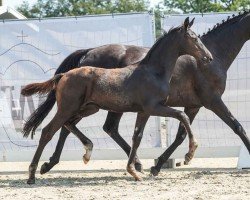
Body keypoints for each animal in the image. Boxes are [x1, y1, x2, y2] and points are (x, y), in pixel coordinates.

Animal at [22, 18, 212, 184]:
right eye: (194, 38)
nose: (208, 58)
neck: (153, 72)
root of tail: (63, 75)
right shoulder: (155, 107)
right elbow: (182, 116)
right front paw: (190, 153)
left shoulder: (144, 111)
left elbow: (137, 137)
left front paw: (134, 171)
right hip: (68, 108)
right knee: (48, 131)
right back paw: (32, 175)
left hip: (88, 108)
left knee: (68, 125)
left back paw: (85, 151)